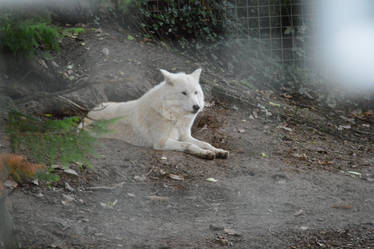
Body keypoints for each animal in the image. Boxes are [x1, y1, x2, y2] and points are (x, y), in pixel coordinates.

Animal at [83, 69, 229, 160]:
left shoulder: (185, 136)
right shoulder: (161, 142)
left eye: (196, 92)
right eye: (184, 93)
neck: (174, 115)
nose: (196, 107)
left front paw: (218, 151)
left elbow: (205, 143)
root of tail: (88, 113)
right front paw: (205, 154)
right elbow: (189, 145)